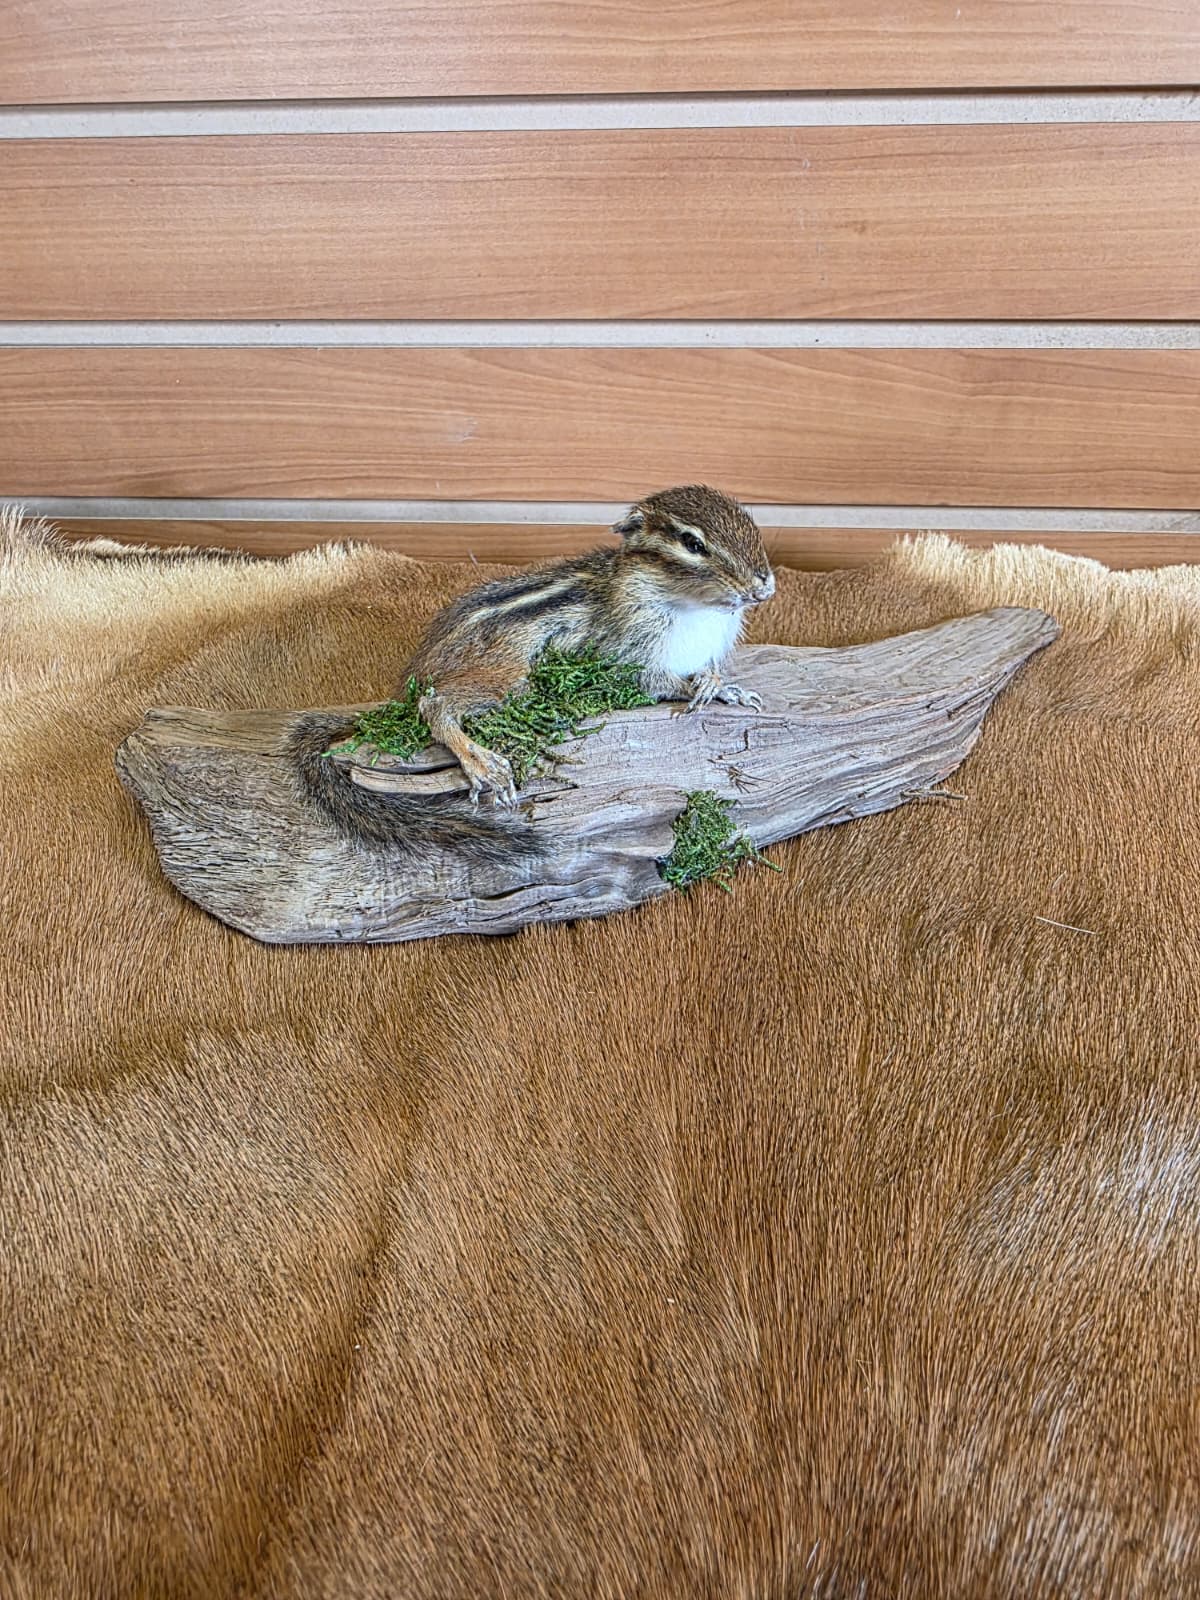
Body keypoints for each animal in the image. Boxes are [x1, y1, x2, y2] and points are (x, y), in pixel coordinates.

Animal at [289, 484, 775, 857]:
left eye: (748, 519)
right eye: (693, 543)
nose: (764, 585)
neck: (697, 609)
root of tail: (419, 670)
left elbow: (710, 672)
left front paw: (725, 686)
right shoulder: (626, 651)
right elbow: (655, 681)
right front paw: (700, 688)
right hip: (506, 677)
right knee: (434, 704)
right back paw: (479, 759)